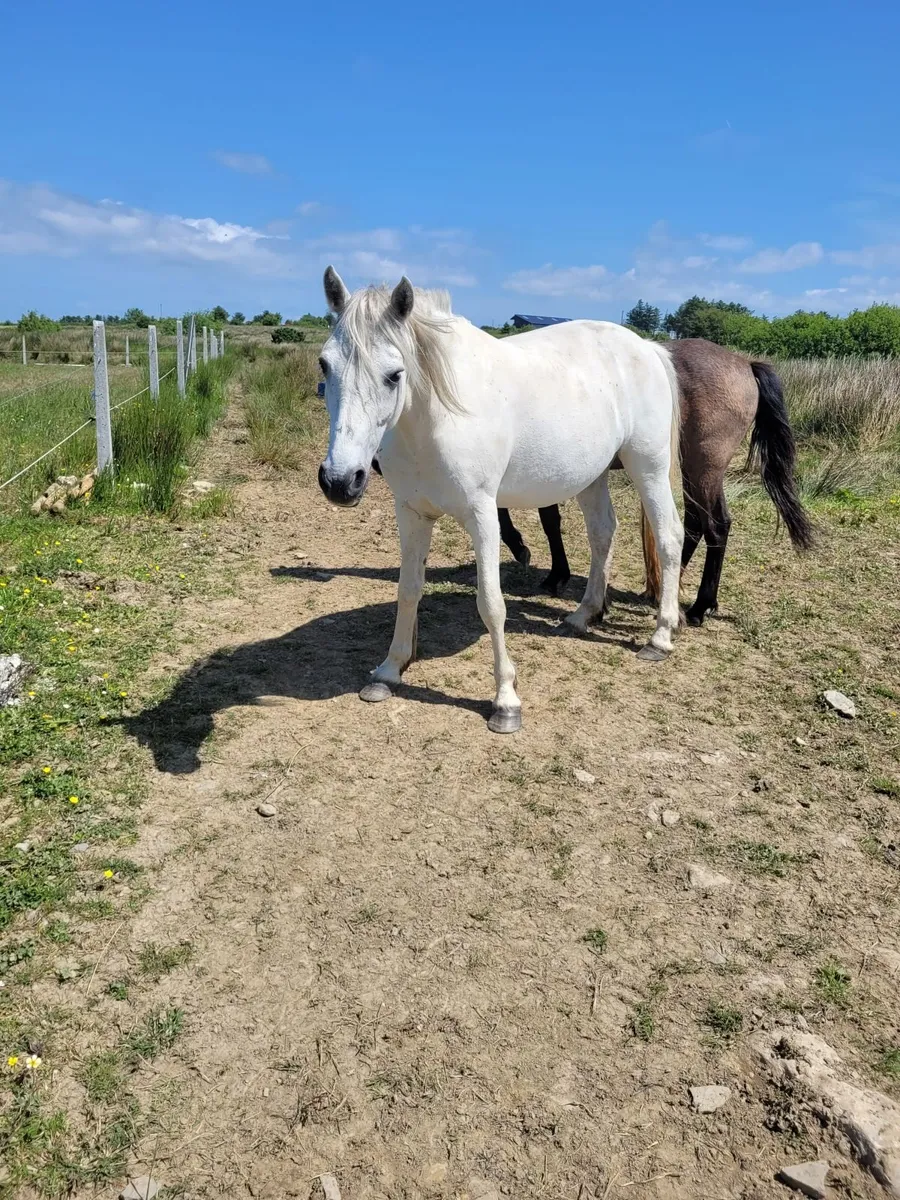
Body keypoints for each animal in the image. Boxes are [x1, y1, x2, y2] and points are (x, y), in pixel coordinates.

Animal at [317, 267, 684, 734]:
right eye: (325, 364)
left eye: (394, 375)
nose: (340, 481)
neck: (438, 417)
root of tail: (647, 347)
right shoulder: (412, 514)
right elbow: (408, 590)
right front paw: (389, 671)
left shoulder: (483, 517)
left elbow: (491, 603)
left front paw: (506, 701)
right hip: (592, 475)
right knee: (603, 533)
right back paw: (583, 614)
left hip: (649, 468)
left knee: (669, 537)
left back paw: (661, 636)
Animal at [497, 338, 814, 625]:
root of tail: (744, 364)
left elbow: (542, 520)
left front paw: (538, 562)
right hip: (695, 470)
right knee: (696, 523)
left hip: (704, 468)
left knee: (715, 526)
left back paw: (699, 606)